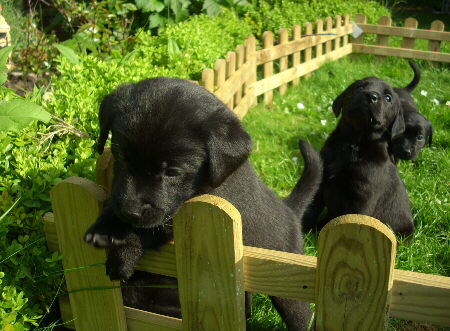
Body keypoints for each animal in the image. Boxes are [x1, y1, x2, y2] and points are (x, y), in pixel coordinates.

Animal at [83, 76, 324, 330]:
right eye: (120, 156)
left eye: (172, 172)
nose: (129, 211)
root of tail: (290, 210)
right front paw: (103, 225)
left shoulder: (183, 215)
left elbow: (151, 229)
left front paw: (123, 250)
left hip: (288, 291)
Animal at [302, 75, 414, 237]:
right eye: (360, 86)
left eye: (388, 98)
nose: (371, 96)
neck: (354, 143)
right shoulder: (320, 179)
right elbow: (310, 208)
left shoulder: (363, 196)